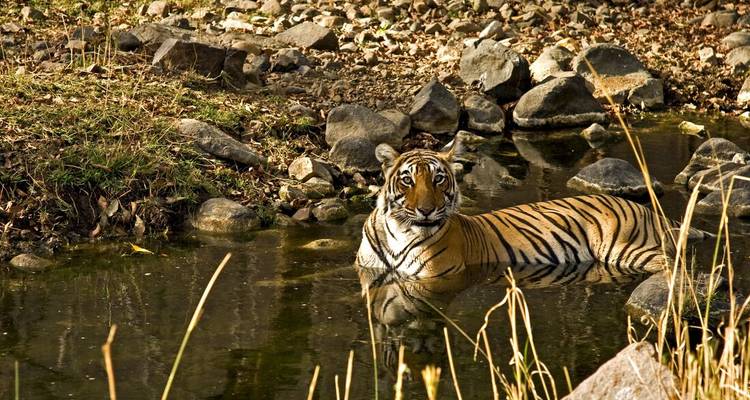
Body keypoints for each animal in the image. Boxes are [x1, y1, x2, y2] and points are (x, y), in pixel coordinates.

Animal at [356, 137, 713, 279]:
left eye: (438, 179)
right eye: (407, 181)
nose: (427, 210)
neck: (399, 231)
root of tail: (651, 211)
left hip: (621, 247)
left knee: (671, 262)